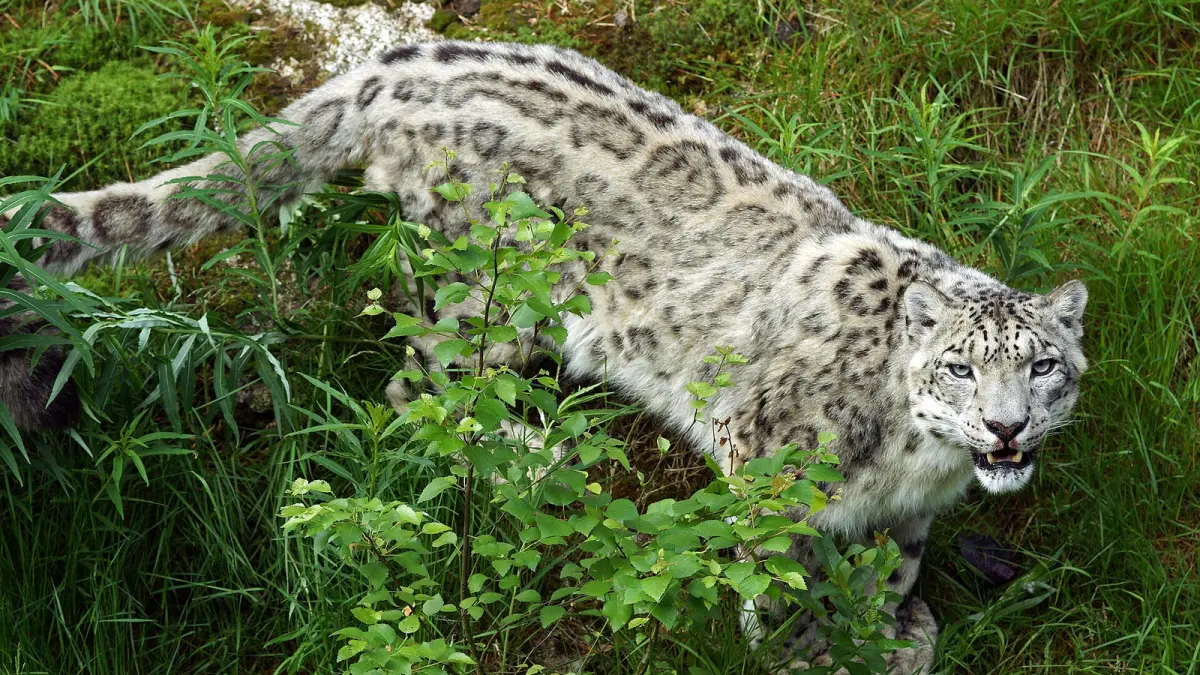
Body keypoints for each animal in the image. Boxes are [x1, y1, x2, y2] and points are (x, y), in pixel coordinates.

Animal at [0, 40, 1088, 672]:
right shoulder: (768, 459)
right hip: (483, 294)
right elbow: (782, 574)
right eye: (959, 367)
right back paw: (538, 458)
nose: (1005, 428)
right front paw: (805, 649)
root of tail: (394, 65)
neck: (919, 459)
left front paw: (894, 633)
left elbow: (892, 569)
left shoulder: (910, 511)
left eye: (1043, 367)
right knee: (419, 391)